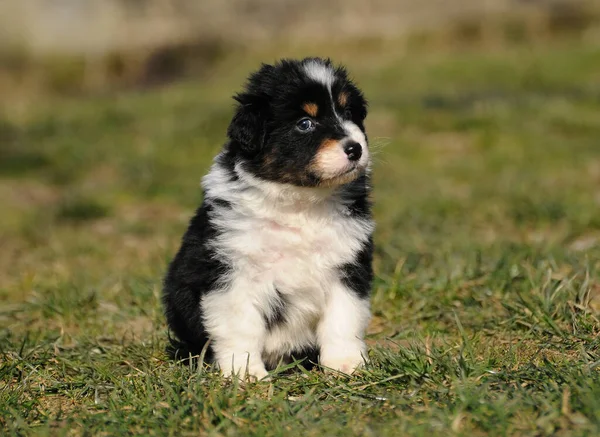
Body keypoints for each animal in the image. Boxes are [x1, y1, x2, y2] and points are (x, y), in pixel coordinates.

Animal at [162, 57, 372, 378]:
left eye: (348, 113)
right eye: (305, 123)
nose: (355, 148)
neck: (300, 202)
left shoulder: (347, 264)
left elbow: (343, 317)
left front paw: (345, 364)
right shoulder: (234, 272)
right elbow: (241, 327)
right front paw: (245, 373)